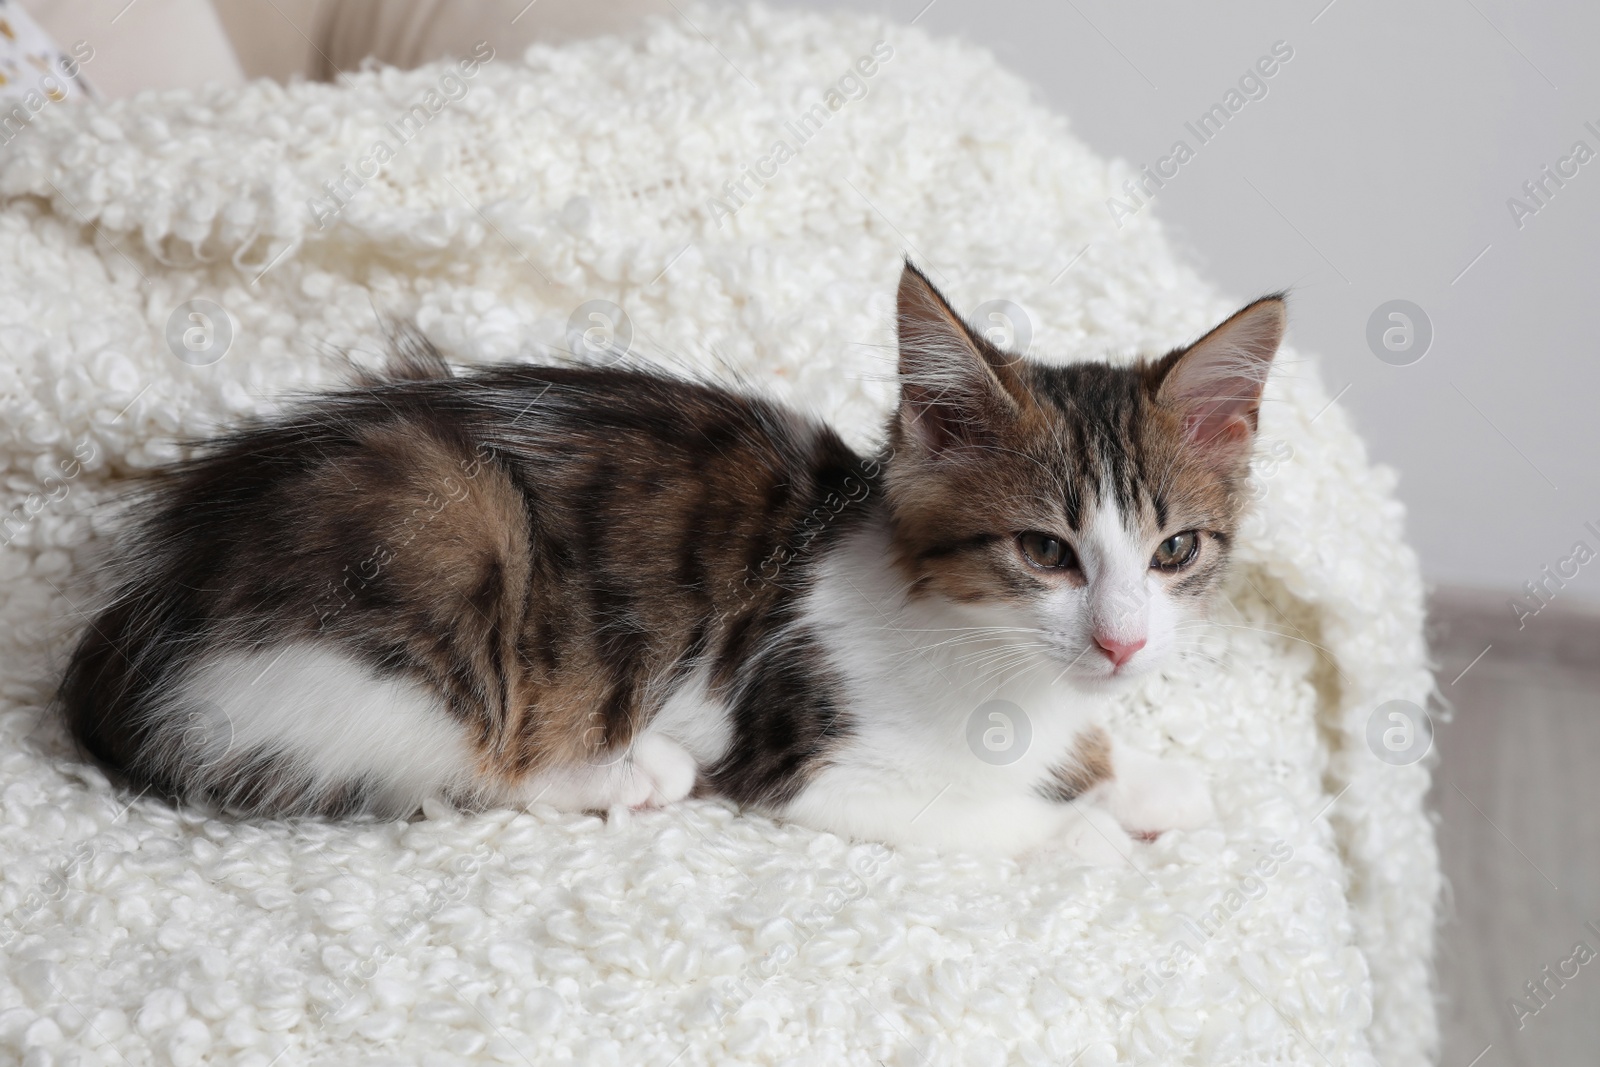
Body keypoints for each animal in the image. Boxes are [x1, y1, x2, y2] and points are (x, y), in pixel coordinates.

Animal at [59, 265, 1286, 857]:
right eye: (1044, 550)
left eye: (1175, 549)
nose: (1122, 643)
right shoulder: (801, 759)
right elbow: (982, 814)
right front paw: (1091, 834)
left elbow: (1078, 748)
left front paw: (1142, 773)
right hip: (439, 552)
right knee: (450, 761)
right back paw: (622, 768)